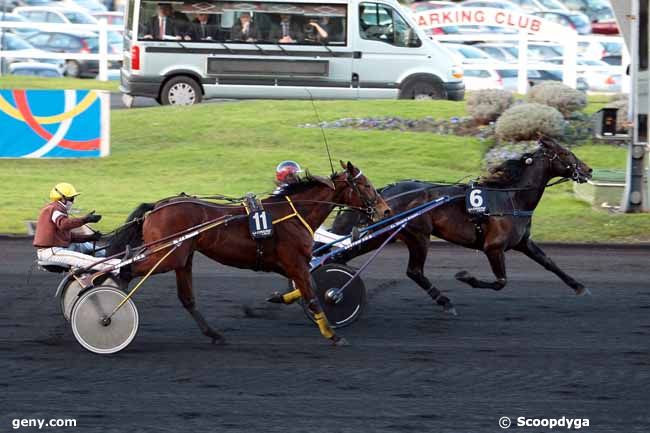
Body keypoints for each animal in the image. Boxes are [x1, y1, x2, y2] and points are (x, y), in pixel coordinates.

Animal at [107, 160, 390, 346]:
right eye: (365, 184)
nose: (385, 210)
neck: (294, 213)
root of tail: (156, 207)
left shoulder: (292, 265)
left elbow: (304, 288)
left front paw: (278, 298)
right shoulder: (296, 262)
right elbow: (312, 295)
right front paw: (333, 334)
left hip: (182, 258)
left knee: (186, 298)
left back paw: (214, 334)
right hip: (168, 255)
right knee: (126, 268)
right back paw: (111, 303)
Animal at [322, 137, 588, 312]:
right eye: (566, 154)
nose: (588, 169)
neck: (511, 197)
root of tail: (385, 193)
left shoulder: (523, 242)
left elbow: (549, 262)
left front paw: (579, 286)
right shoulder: (494, 248)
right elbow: (500, 282)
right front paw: (464, 276)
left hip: (384, 234)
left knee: (344, 256)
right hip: (417, 235)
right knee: (414, 271)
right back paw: (444, 301)